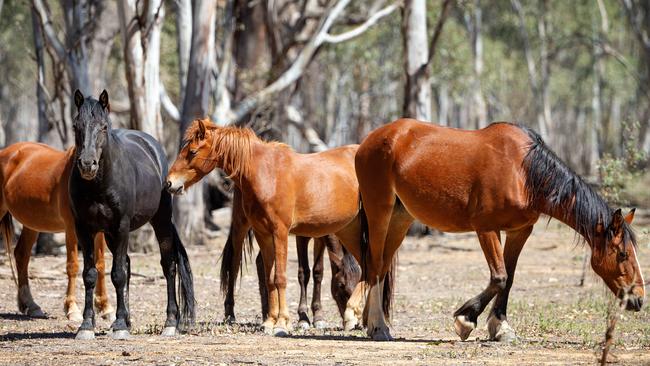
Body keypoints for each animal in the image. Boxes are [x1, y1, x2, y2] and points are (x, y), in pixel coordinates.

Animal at [0, 142, 112, 322]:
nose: (89, 166)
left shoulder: (99, 230)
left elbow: (100, 264)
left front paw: (106, 308)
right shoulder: (71, 228)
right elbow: (73, 265)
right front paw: (72, 309)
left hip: (32, 223)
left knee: (21, 255)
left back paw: (31, 306)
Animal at [70, 91, 195, 340]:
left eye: (104, 127)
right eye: (76, 126)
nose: (87, 164)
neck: (99, 184)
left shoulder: (122, 225)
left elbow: (117, 274)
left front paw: (119, 326)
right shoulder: (84, 229)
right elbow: (90, 274)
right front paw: (87, 325)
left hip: (160, 221)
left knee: (169, 265)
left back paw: (170, 323)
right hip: (110, 235)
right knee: (127, 265)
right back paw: (127, 319)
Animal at [165, 118, 368, 336]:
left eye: (192, 152)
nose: (169, 183)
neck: (266, 173)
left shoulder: (281, 233)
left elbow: (281, 277)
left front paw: (282, 322)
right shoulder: (263, 234)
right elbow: (270, 277)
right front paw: (271, 321)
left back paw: (353, 315)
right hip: (347, 229)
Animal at [354, 118, 644, 342]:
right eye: (622, 254)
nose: (638, 299)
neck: (523, 172)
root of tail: (370, 140)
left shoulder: (520, 231)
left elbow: (510, 278)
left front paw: (501, 328)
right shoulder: (486, 229)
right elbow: (500, 277)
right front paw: (465, 319)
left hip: (400, 219)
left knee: (382, 265)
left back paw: (372, 323)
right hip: (380, 213)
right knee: (375, 264)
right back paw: (378, 328)